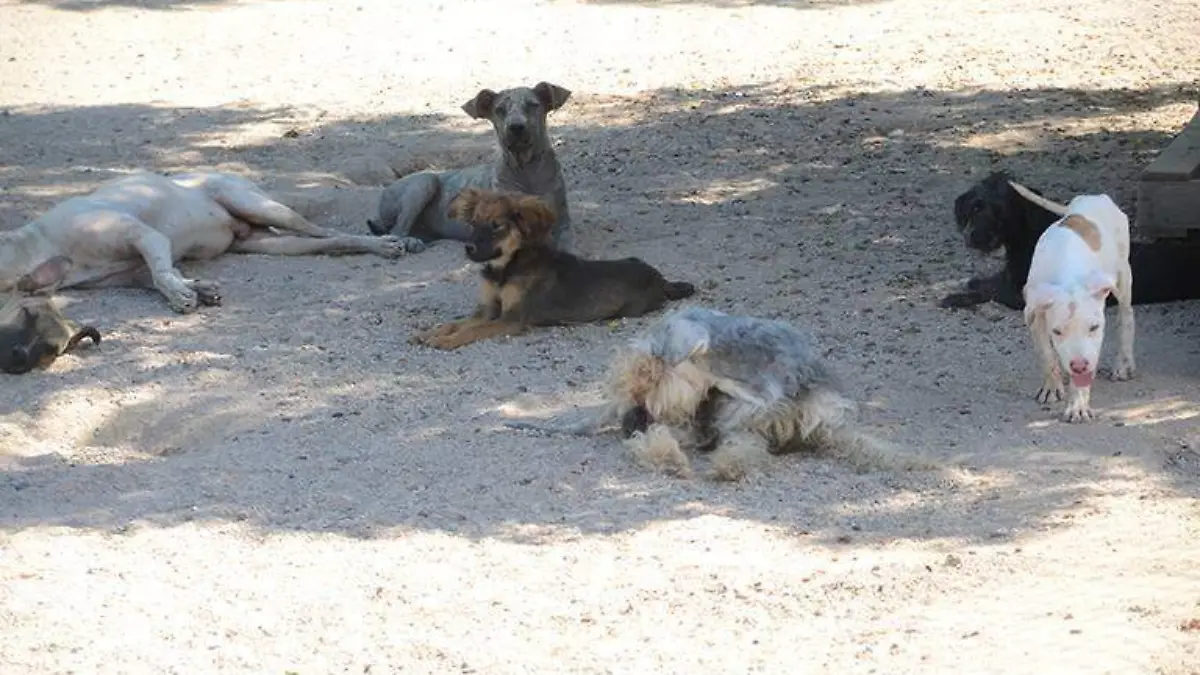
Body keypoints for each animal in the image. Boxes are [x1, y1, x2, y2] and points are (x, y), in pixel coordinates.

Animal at [501, 305, 931, 478]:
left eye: (650, 372)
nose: (631, 417)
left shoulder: (828, 425)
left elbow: (876, 446)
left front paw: (925, 465)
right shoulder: (739, 430)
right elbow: (740, 452)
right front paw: (727, 466)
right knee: (661, 443)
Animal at [940, 171, 1200, 312]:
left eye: (1001, 212)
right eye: (975, 207)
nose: (975, 237)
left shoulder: (1022, 296)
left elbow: (992, 291)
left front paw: (956, 297)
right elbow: (989, 281)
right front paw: (972, 282)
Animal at [1012, 181, 1132, 417]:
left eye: (1094, 328)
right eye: (1057, 331)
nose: (1079, 365)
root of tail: (1096, 197)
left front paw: (1077, 405)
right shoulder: (1035, 316)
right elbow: (1047, 355)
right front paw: (1052, 387)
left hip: (1123, 275)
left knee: (1126, 317)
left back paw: (1123, 364)